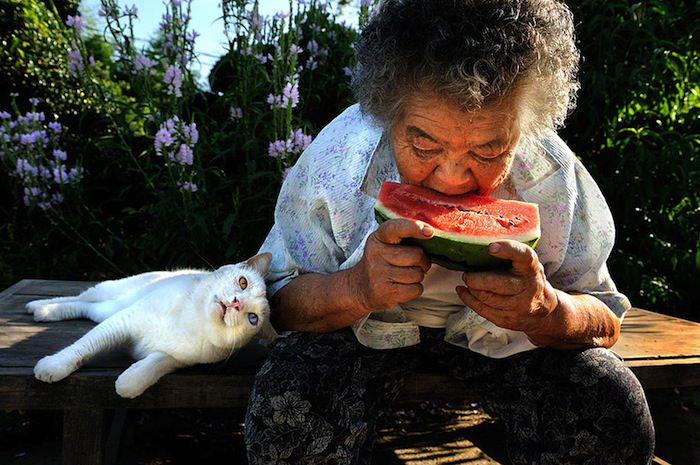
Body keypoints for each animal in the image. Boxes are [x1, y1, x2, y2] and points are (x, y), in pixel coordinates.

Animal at [25, 252, 276, 396]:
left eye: (252, 318)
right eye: (243, 282)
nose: (236, 303)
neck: (193, 320)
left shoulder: (174, 359)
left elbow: (151, 368)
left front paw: (127, 382)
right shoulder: (123, 321)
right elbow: (84, 347)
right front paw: (54, 367)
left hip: (107, 310)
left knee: (85, 307)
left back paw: (41, 311)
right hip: (112, 295)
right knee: (82, 297)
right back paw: (39, 307)